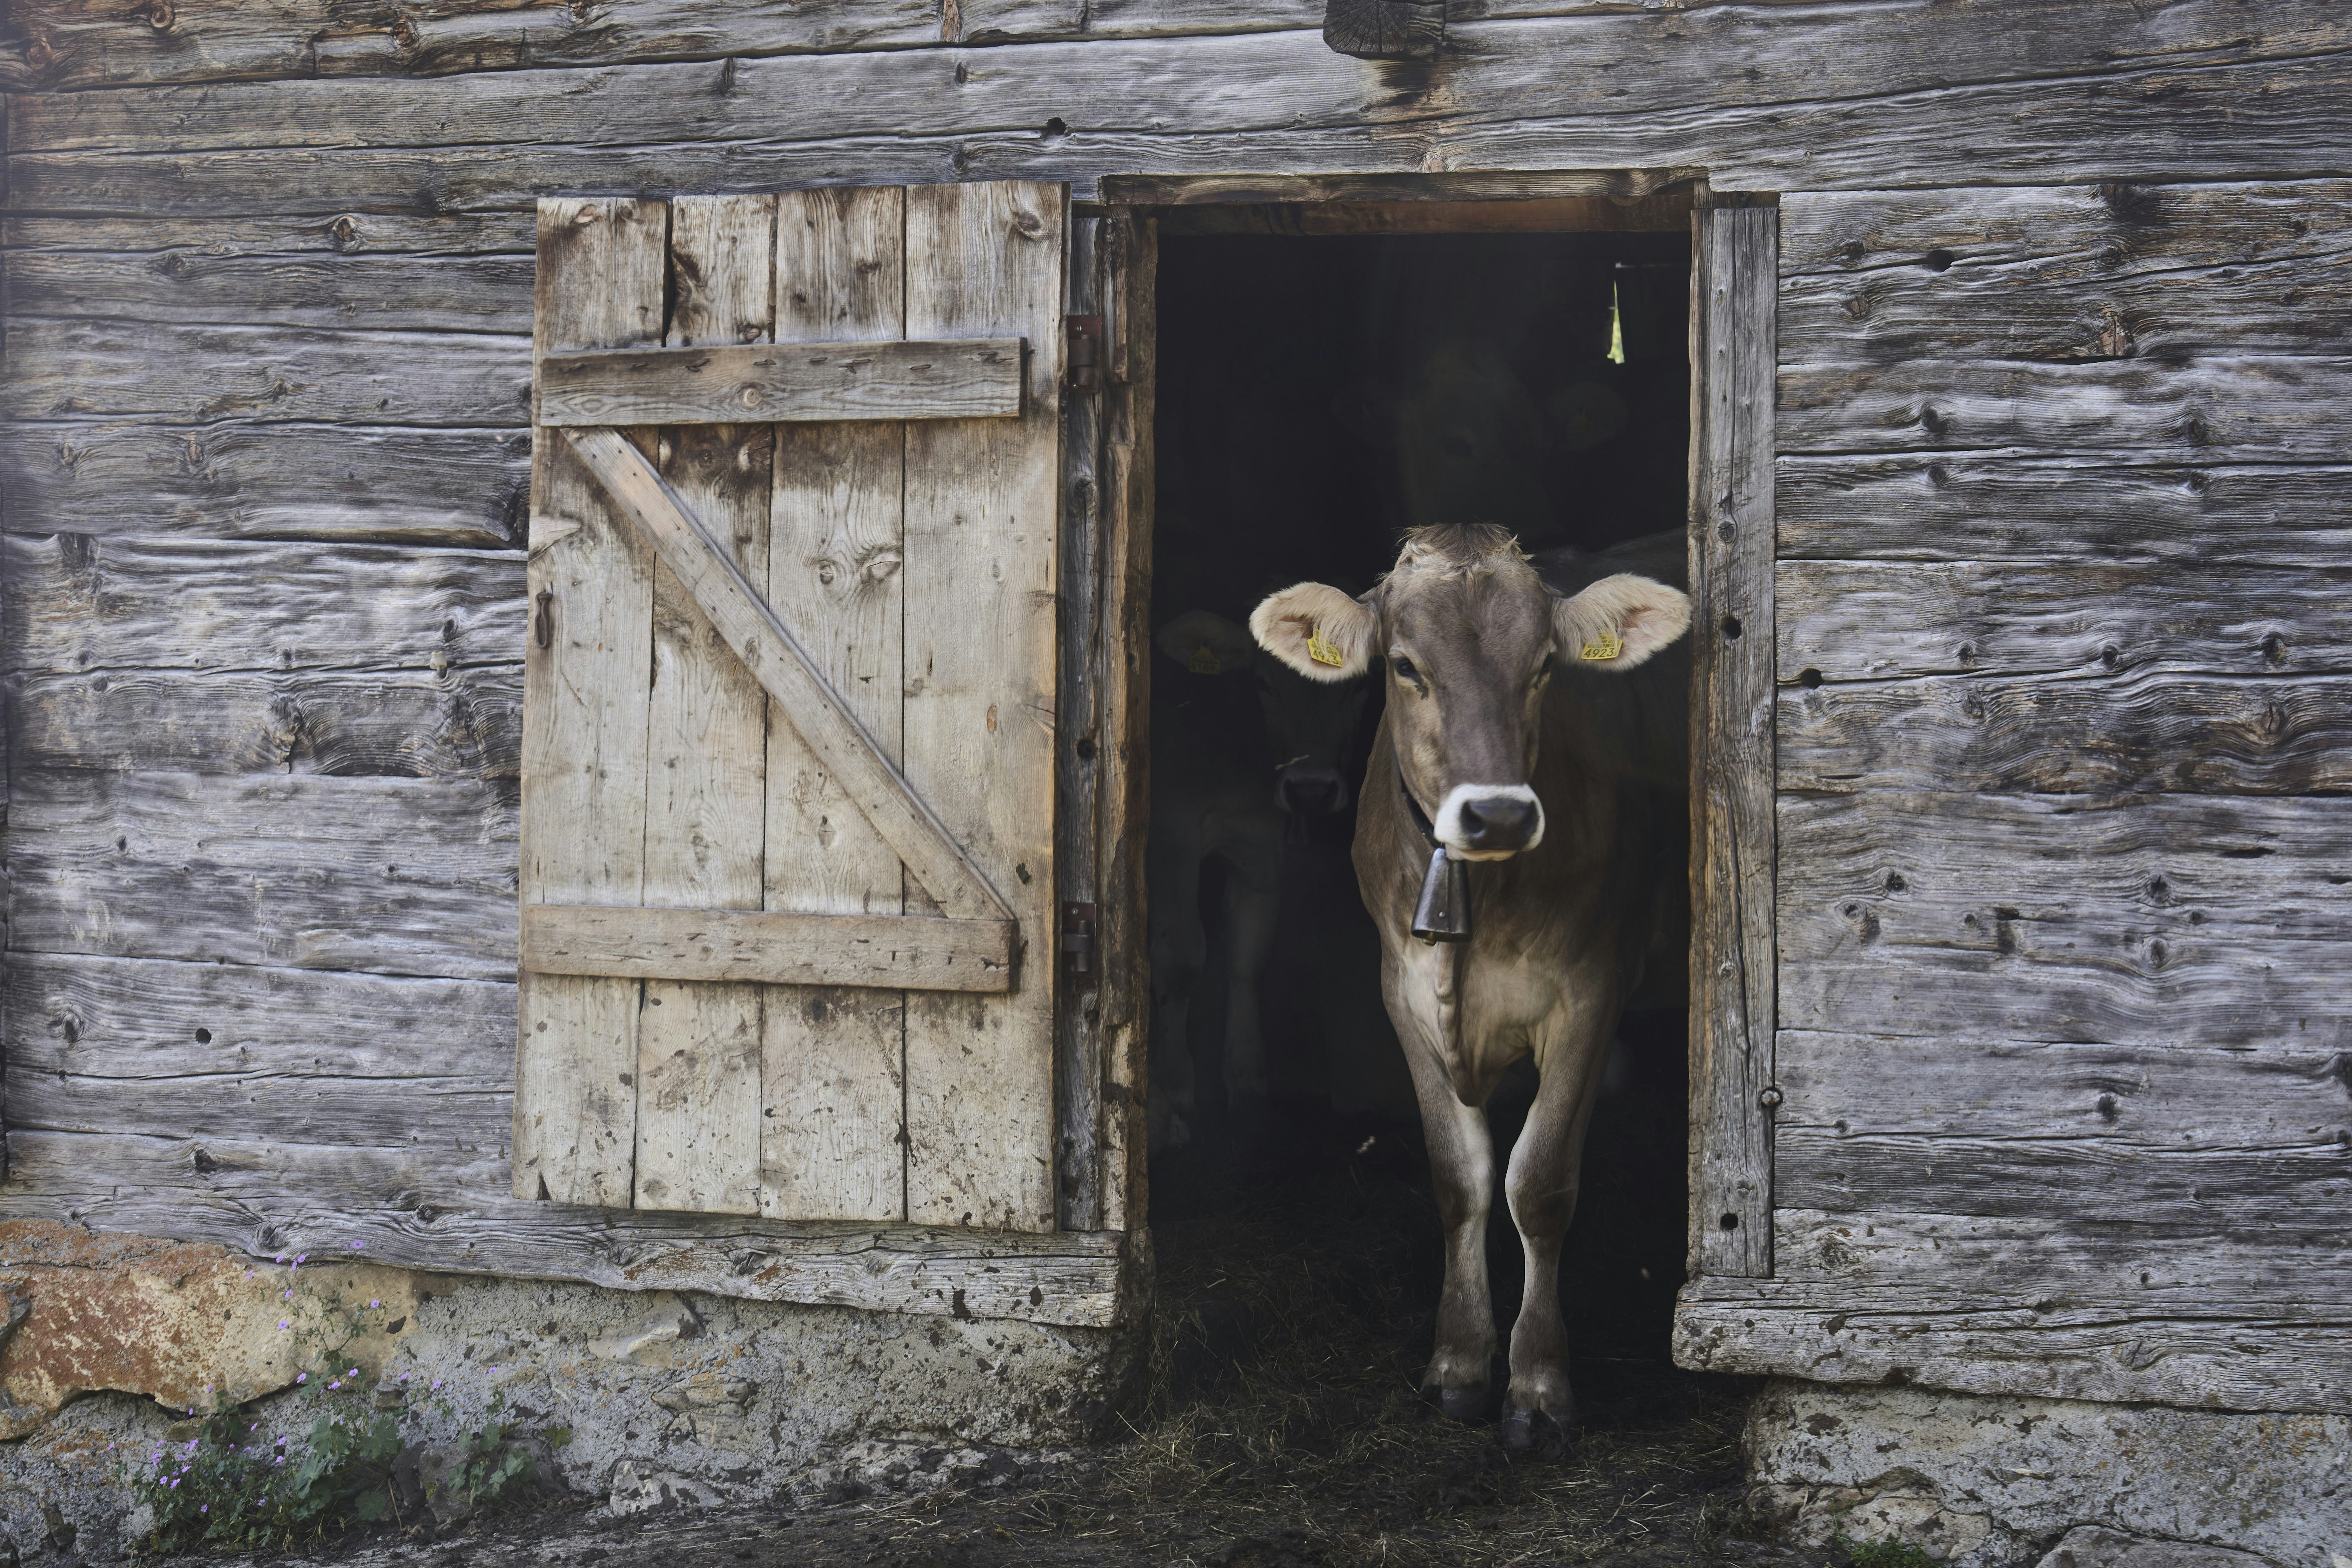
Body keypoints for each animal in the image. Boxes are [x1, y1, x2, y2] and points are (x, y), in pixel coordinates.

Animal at [1148, 609, 1372, 1149]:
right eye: (1264, 682)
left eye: (1359, 687)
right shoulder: (1171, 830)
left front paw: (1248, 1083)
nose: (1311, 789)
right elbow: (1181, 956)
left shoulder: (1261, 845)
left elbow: (1247, 957)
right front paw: (1175, 1088)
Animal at [1249, 523, 1690, 1445]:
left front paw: (1538, 1383)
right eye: (1404, 665)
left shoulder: (1592, 991)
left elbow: (1539, 1182)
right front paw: (1457, 1361)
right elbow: (1461, 1180)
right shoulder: (1403, 994)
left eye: (1546, 666)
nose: (1499, 815)